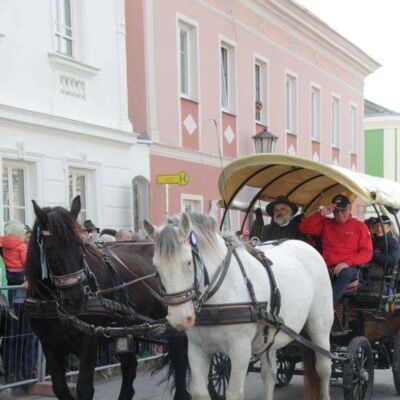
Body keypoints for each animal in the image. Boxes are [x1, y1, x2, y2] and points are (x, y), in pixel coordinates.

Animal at [25, 196, 191, 400]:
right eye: (49, 249)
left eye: (80, 245)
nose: (76, 298)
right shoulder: (50, 344)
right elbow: (60, 388)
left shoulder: (89, 340)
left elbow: (84, 388)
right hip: (129, 329)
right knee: (130, 367)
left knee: (179, 360)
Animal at [144, 212, 334, 400]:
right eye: (156, 267)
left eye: (188, 262)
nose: (180, 319)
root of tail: (306, 246)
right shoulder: (197, 349)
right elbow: (199, 392)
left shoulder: (240, 350)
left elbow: (234, 393)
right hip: (270, 339)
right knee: (268, 376)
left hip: (320, 327)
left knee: (324, 368)